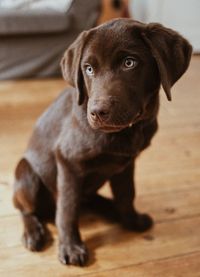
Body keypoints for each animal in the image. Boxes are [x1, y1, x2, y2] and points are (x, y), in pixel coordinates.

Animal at [12, 18, 192, 264]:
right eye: (88, 69)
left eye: (129, 63)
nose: (97, 112)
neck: (125, 132)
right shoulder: (68, 162)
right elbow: (67, 209)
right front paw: (71, 247)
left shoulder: (126, 164)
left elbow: (126, 194)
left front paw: (131, 221)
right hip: (26, 175)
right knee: (27, 209)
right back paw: (33, 232)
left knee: (87, 199)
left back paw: (109, 208)